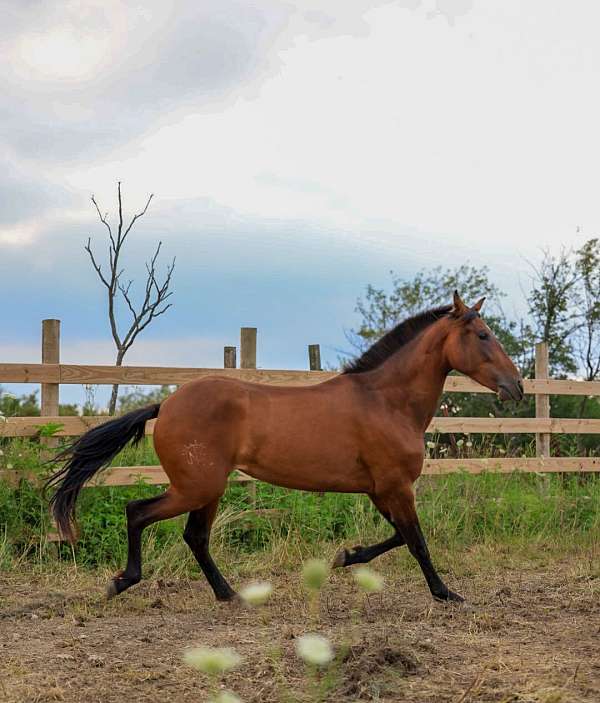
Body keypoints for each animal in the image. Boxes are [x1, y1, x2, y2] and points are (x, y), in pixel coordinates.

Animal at [47, 292, 524, 604]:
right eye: (483, 335)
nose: (516, 386)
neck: (386, 400)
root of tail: (167, 404)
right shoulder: (396, 486)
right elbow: (416, 540)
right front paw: (446, 593)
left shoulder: (380, 489)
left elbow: (396, 536)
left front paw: (346, 556)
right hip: (197, 487)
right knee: (138, 513)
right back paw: (123, 581)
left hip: (207, 489)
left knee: (194, 536)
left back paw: (229, 595)